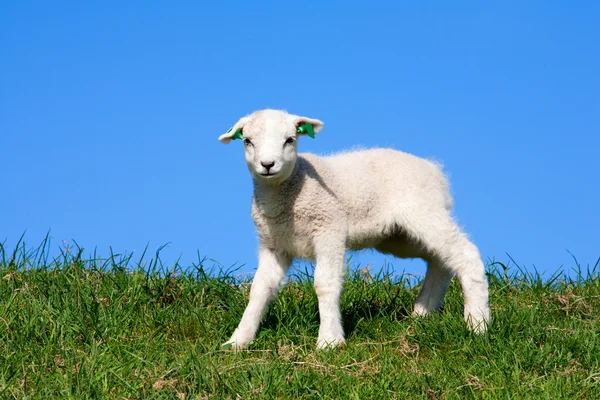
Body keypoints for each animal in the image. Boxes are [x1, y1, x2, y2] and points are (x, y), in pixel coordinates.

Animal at [218, 108, 490, 348]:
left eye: (290, 140)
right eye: (248, 141)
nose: (267, 164)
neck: (290, 189)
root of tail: (436, 171)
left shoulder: (330, 228)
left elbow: (325, 284)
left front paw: (329, 340)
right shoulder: (274, 244)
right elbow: (260, 289)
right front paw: (238, 340)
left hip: (423, 210)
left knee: (464, 253)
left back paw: (478, 323)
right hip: (399, 236)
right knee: (440, 260)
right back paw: (424, 312)